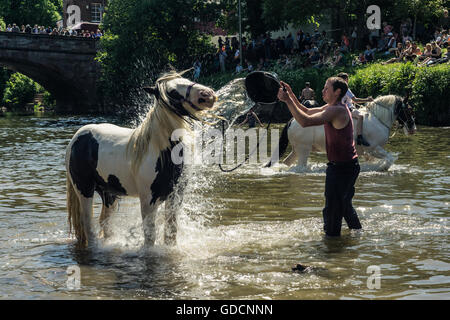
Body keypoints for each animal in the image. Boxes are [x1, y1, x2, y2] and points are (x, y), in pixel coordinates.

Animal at [64, 70, 216, 248]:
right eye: (172, 92)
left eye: (186, 79)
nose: (207, 94)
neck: (161, 153)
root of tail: (78, 137)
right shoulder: (148, 200)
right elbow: (150, 236)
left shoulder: (175, 196)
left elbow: (171, 232)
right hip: (84, 190)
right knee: (88, 225)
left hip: (109, 194)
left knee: (105, 224)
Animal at [266, 94, 416, 168]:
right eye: (409, 109)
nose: (413, 128)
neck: (377, 118)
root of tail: (292, 120)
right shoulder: (373, 148)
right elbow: (389, 159)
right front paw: (383, 167)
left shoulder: (368, 153)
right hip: (303, 150)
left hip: (296, 150)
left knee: (287, 162)